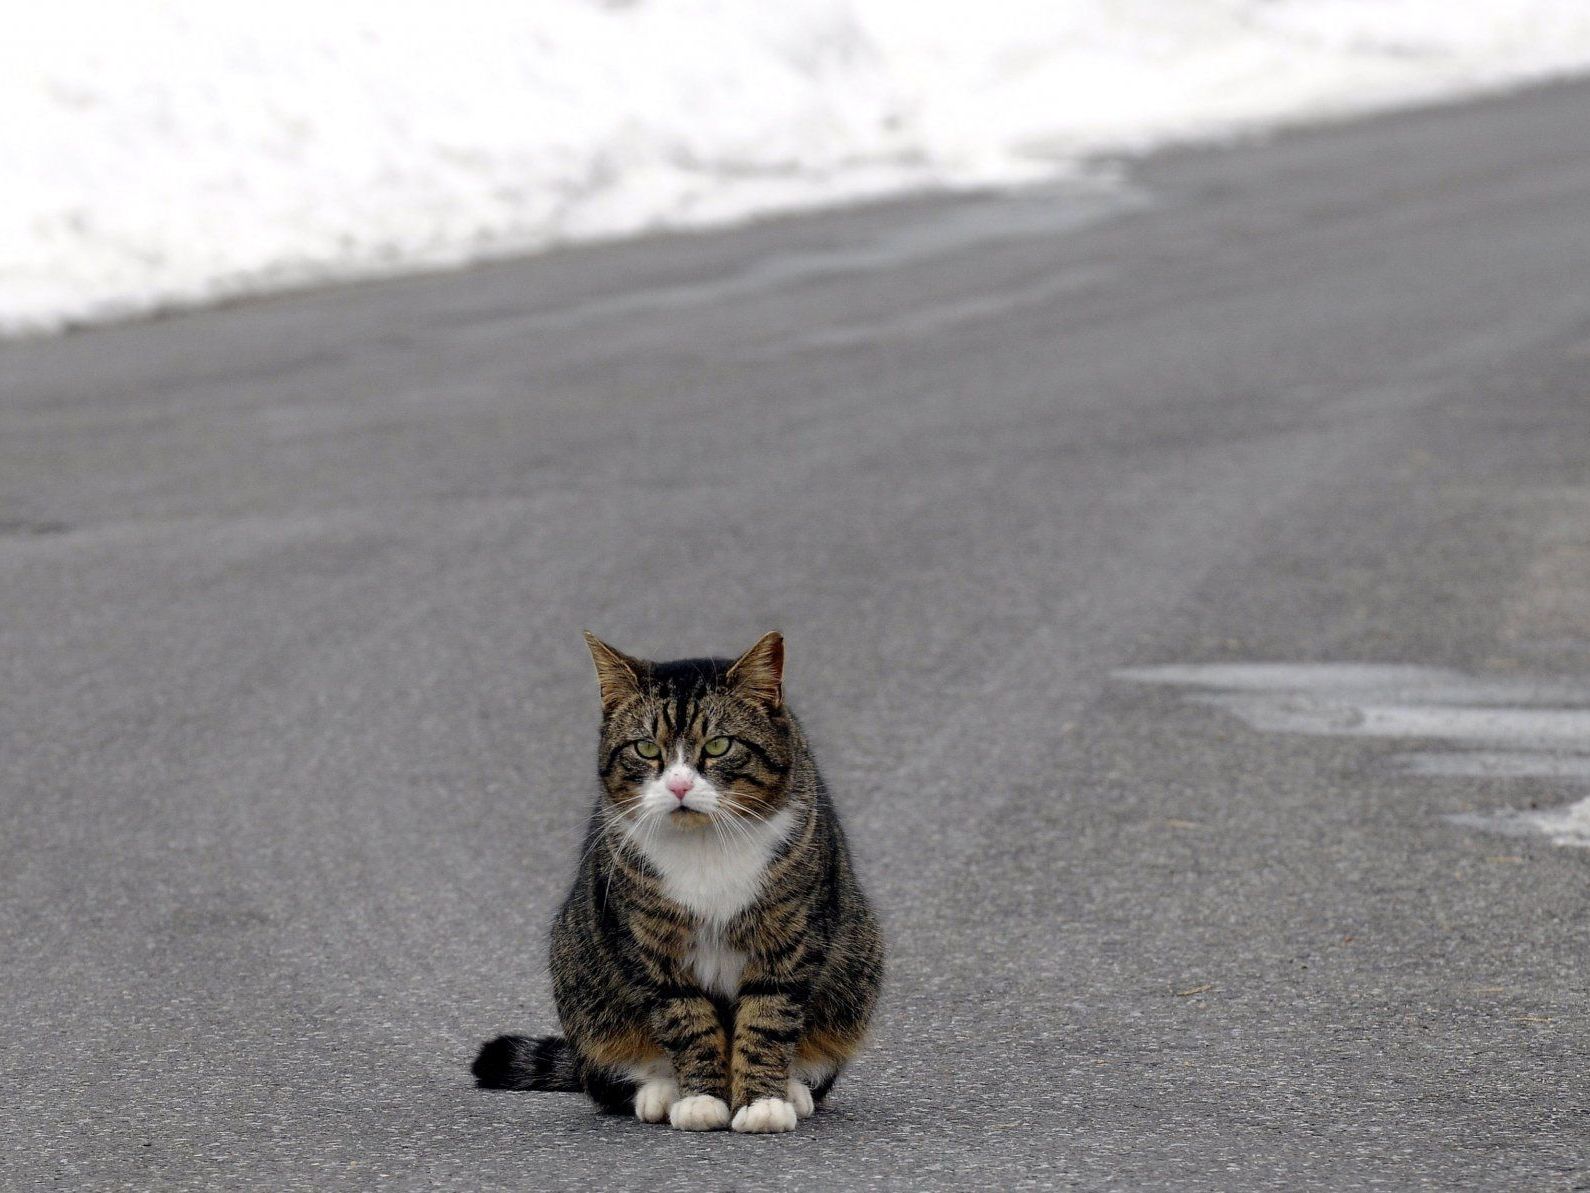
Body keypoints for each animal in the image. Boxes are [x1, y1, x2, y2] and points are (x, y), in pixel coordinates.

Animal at [470, 629, 896, 1132]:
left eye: (718, 746)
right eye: (646, 749)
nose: (678, 786)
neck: (705, 845)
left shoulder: (787, 941)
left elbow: (767, 1021)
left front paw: (762, 1103)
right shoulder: (654, 950)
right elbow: (688, 1023)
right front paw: (701, 1100)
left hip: (856, 967)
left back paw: (794, 1089)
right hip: (581, 981)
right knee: (610, 1075)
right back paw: (659, 1091)